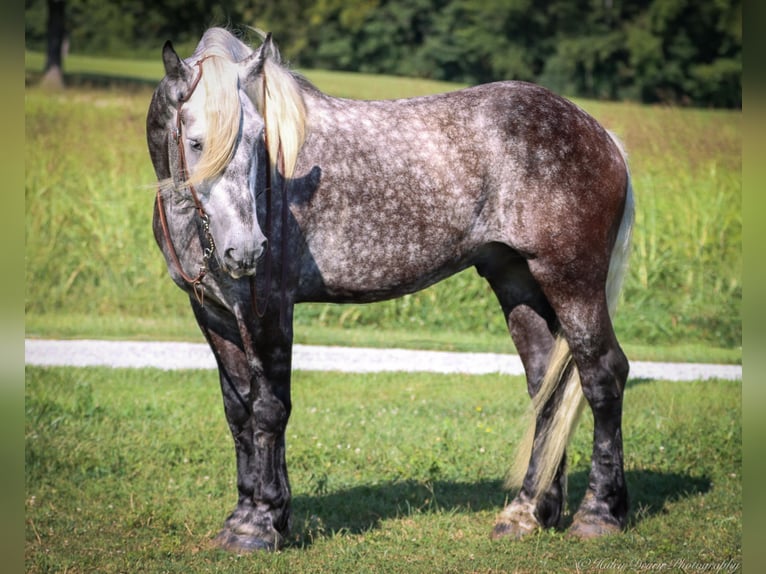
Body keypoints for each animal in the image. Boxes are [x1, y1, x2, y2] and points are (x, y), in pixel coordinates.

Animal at [148, 28, 636, 552]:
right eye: (195, 142)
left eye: (261, 139)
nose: (246, 250)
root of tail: (602, 136)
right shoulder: (215, 314)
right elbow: (238, 413)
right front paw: (246, 516)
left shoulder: (268, 311)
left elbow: (268, 409)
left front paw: (259, 525)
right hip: (518, 282)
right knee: (547, 387)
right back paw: (527, 513)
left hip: (573, 283)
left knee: (603, 376)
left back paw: (599, 514)